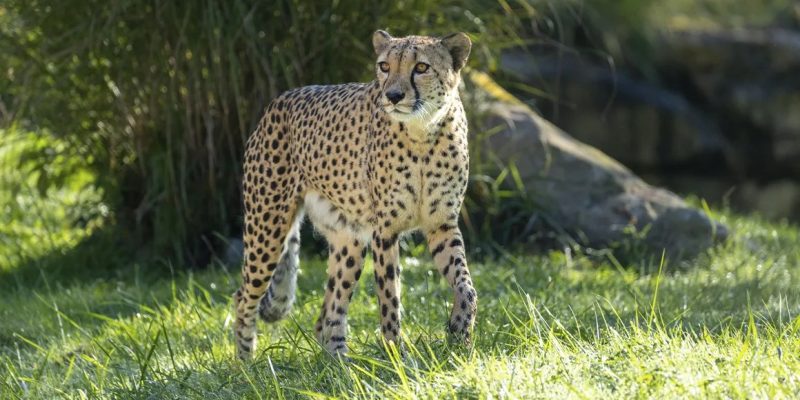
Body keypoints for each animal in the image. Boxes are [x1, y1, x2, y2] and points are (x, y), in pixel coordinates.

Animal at [233, 30, 477, 360]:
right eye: (384, 66)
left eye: (421, 68)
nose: (393, 95)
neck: (422, 133)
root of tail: (279, 100)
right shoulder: (385, 231)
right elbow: (389, 298)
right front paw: (396, 355)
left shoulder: (441, 225)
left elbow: (466, 284)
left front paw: (460, 334)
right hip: (267, 229)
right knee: (243, 296)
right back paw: (246, 363)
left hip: (350, 240)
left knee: (327, 312)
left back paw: (339, 361)